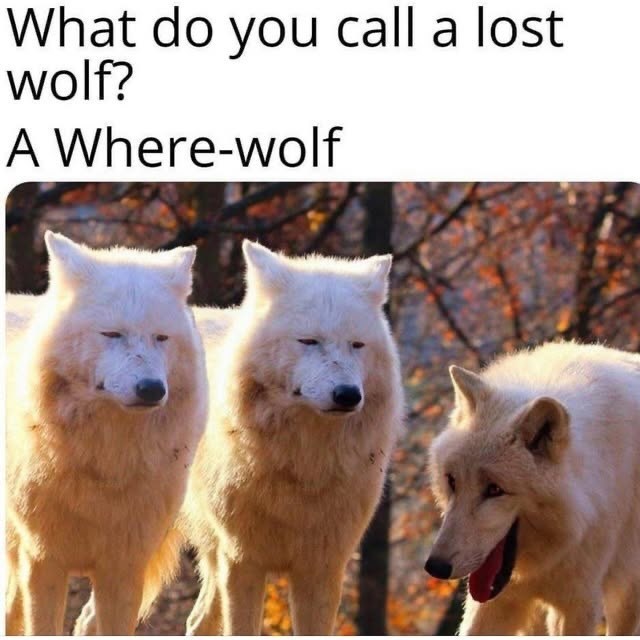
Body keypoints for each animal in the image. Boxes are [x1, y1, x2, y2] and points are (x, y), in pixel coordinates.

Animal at [5, 232, 208, 635]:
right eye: (112, 334)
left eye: (161, 338)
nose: (151, 389)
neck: (105, 461)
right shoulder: (43, 561)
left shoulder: (124, 568)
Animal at [177, 240, 404, 635]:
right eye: (309, 341)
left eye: (357, 345)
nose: (348, 395)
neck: (304, 465)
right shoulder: (242, 560)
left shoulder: (323, 568)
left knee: (196, 620)